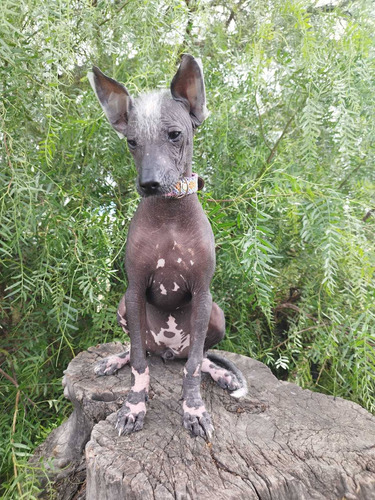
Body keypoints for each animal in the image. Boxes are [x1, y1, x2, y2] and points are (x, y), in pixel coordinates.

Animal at [88, 52, 247, 440]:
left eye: (175, 135)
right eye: (131, 142)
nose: (149, 184)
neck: (170, 215)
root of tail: (168, 352)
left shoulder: (203, 293)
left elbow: (194, 368)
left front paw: (193, 410)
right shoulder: (133, 289)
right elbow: (138, 365)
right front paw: (134, 406)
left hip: (216, 314)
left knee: (196, 356)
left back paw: (219, 373)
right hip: (126, 309)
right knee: (140, 351)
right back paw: (114, 360)